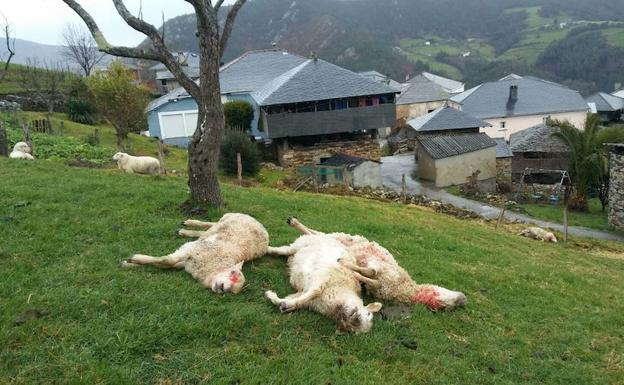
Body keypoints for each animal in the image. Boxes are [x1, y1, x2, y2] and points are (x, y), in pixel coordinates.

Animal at [121, 213, 268, 294]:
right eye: (232, 273)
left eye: (232, 291)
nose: (222, 289)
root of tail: (261, 225)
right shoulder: (191, 250)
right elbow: (166, 260)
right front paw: (133, 259)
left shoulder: (187, 260)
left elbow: (166, 264)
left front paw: (128, 263)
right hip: (227, 216)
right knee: (210, 223)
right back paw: (189, 222)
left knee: (206, 230)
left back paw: (184, 231)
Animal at [286, 218, 466, 310]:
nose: (463, 298)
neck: (407, 289)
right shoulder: (382, 268)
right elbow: (371, 272)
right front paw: (347, 265)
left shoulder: (380, 284)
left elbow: (372, 280)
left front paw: (357, 275)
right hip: (343, 238)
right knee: (316, 232)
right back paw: (293, 222)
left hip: (338, 239)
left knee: (316, 233)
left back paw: (293, 222)